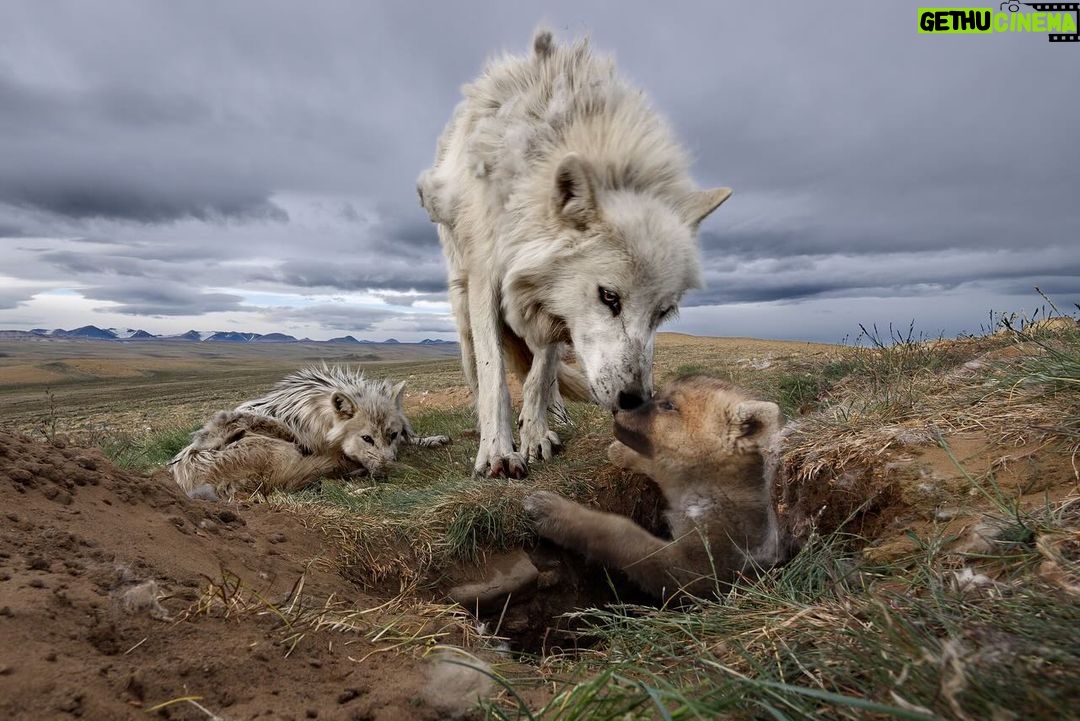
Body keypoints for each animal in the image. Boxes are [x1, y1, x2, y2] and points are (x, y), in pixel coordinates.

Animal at [169, 365, 450, 498]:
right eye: (366, 438)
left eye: (392, 435)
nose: (388, 471)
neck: (320, 418)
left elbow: (413, 440)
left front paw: (432, 439)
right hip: (278, 449)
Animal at [418, 29, 732, 478]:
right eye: (609, 297)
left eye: (663, 313)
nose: (635, 400)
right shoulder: (490, 277)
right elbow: (495, 377)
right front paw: (497, 452)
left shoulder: (554, 305)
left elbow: (539, 374)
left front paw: (535, 435)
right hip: (461, 300)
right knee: (477, 367)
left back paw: (552, 419)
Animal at [525, 376, 784, 600]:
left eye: (669, 406)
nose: (615, 406)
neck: (713, 484)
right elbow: (654, 463)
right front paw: (621, 451)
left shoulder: (694, 569)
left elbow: (621, 532)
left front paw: (555, 512)